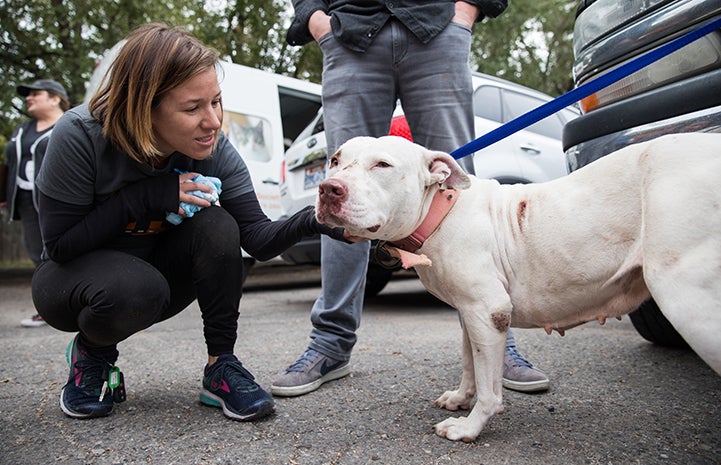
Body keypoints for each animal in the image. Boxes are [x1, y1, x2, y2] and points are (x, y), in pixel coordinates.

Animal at [316, 132, 720, 440]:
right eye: (335, 160)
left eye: (382, 165)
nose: (328, 189)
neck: (440, 211)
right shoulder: (470, 313)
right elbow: (470, 362)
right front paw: (461, 397)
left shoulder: (487, 310)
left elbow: (489, 387)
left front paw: (470, 427)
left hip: (688, 299)